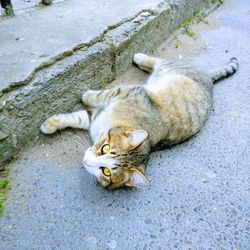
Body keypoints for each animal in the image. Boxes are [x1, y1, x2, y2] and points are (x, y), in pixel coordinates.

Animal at [40, 52, 238, 189]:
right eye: (105, 148)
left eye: (106, 172)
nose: (87, 162)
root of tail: (208, 78)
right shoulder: (125, 93)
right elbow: (90, 103)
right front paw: (51, 123)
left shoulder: (103, 111)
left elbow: (83, 114)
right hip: (169, 67)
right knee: (157, 61)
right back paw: (140, 57)